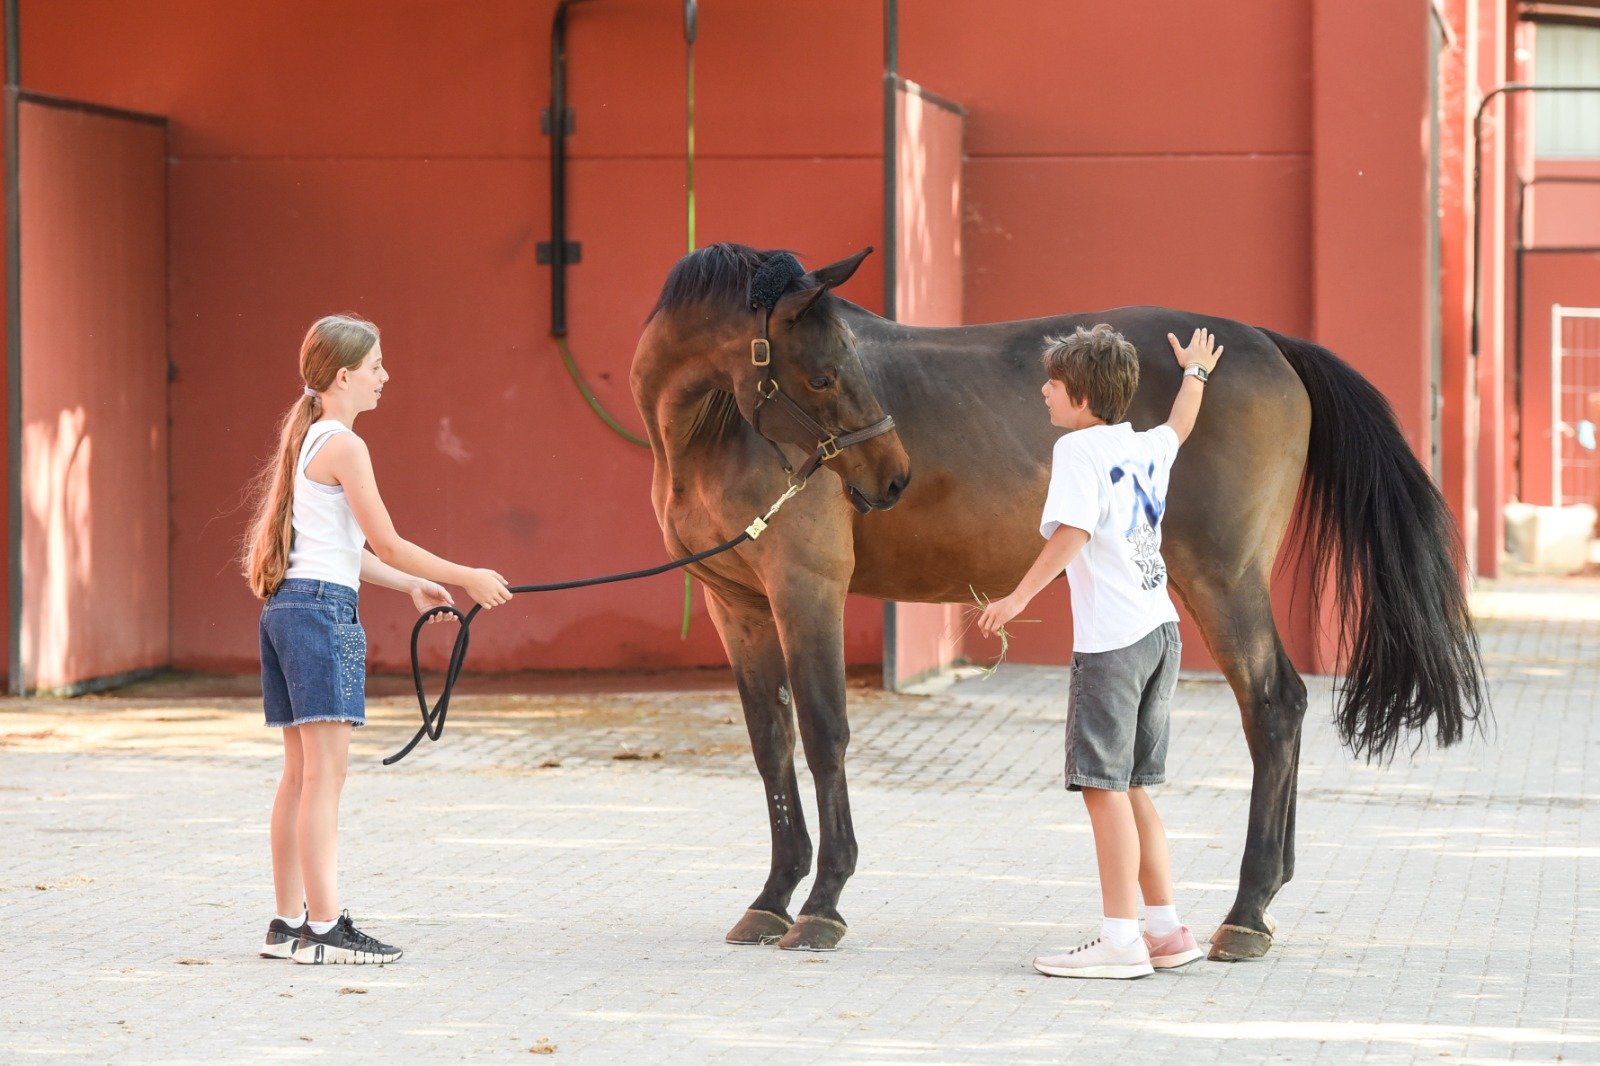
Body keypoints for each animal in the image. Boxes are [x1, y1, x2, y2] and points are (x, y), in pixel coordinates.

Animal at [629, 242, 1485, 959]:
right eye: (821, 376)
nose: (893, 477)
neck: (714, 433)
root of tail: (1271, 344)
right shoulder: (737, 606)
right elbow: (770, 745)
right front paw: (771, 898)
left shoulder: (807, 591)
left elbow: (824, 736)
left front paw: (822, 905)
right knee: (1284, 710)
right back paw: (1267, 897)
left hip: (1224, 578)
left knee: (1273, 706)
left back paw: (1244, 912)